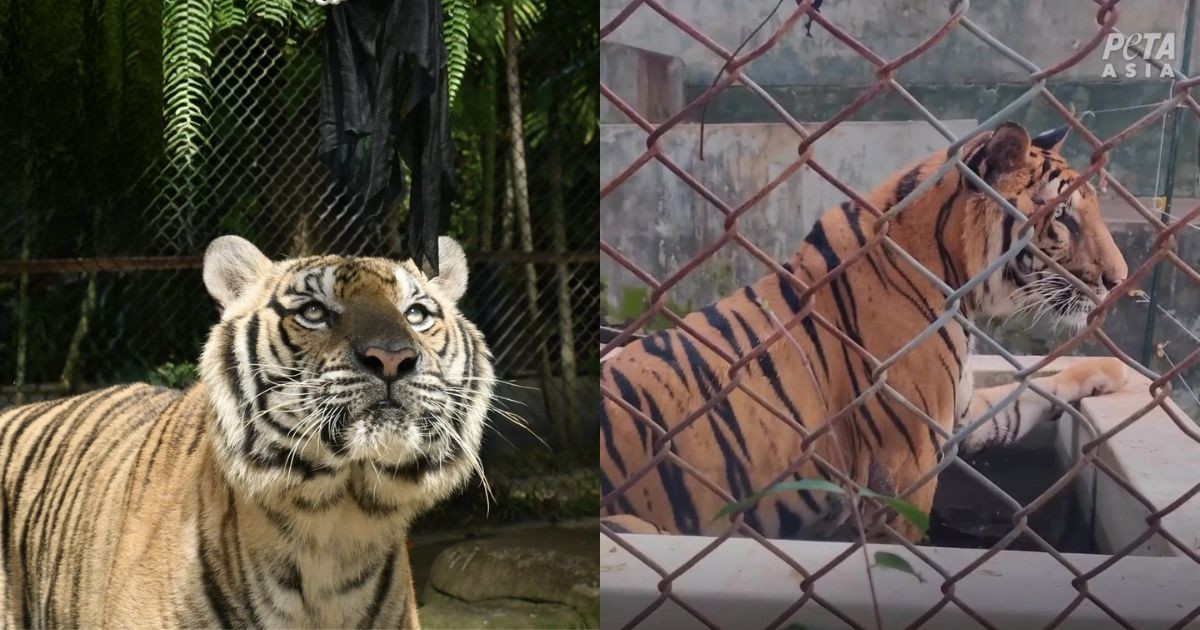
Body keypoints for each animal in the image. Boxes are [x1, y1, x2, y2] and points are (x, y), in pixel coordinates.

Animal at [600, 121, 1131, 543]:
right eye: (1063, 217)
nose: (1120, 280)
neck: (958, 283)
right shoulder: (907, 458)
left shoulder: (956, 413)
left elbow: (1027, 394)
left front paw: (1111, 372)